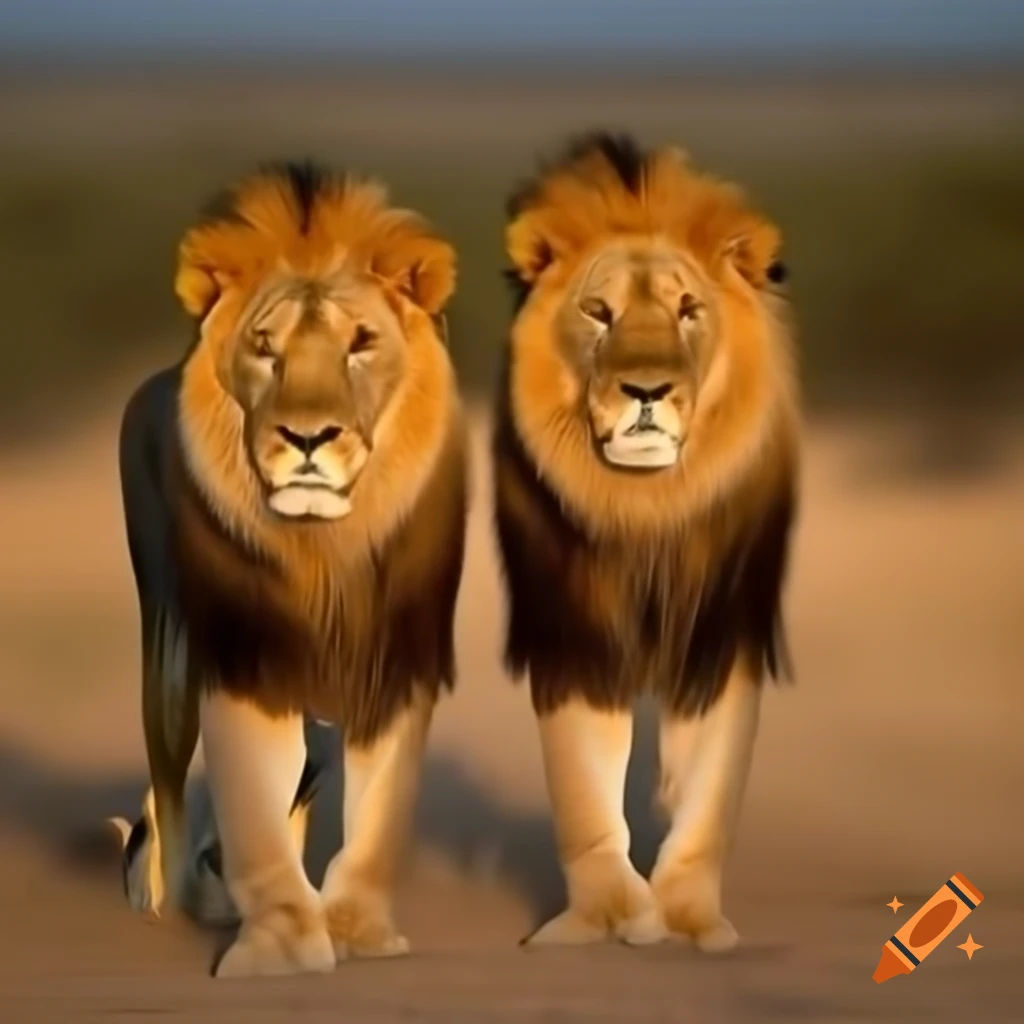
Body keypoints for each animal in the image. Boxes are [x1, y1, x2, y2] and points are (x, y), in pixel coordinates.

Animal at [109, 160, 468, 977]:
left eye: (361, 343)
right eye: (264, 348)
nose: (307, 438)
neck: (326, 553)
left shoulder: (394, 667)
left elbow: (368, 804)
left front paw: (357, 932)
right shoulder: (244, 660)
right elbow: (251, 799)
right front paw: (276, 943)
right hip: (167, 645)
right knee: (170, 778)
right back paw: (174, 900)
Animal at [492, 133, 799, 952]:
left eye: (689, 310)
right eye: (599, 313)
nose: (647, 391)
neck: (648, 510)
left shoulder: (721, 633)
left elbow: (710, 794)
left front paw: (690, 920)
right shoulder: (573, 631)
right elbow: (581, 791)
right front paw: (605, 916)